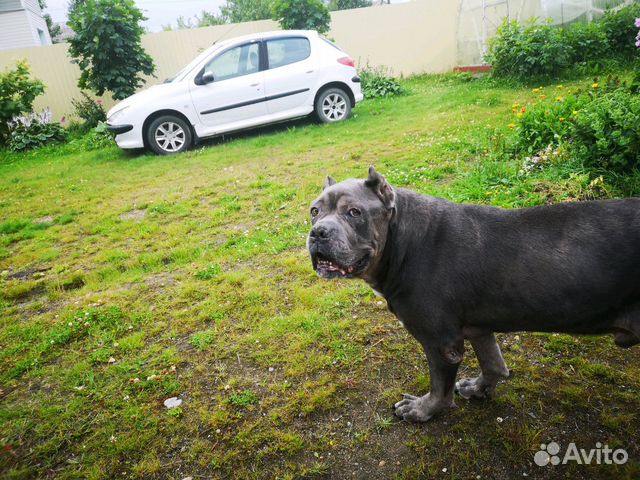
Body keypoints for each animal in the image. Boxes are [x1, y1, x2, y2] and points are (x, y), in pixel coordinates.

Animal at [308, 167, 636, 422]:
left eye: (354, 213)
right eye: (314, 211)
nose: (318, 232)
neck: (402, 242)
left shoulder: (441, 343)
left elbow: (440, 388)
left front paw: (422, 410)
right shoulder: (478, 328)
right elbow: (493, 364)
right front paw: (479, 389)